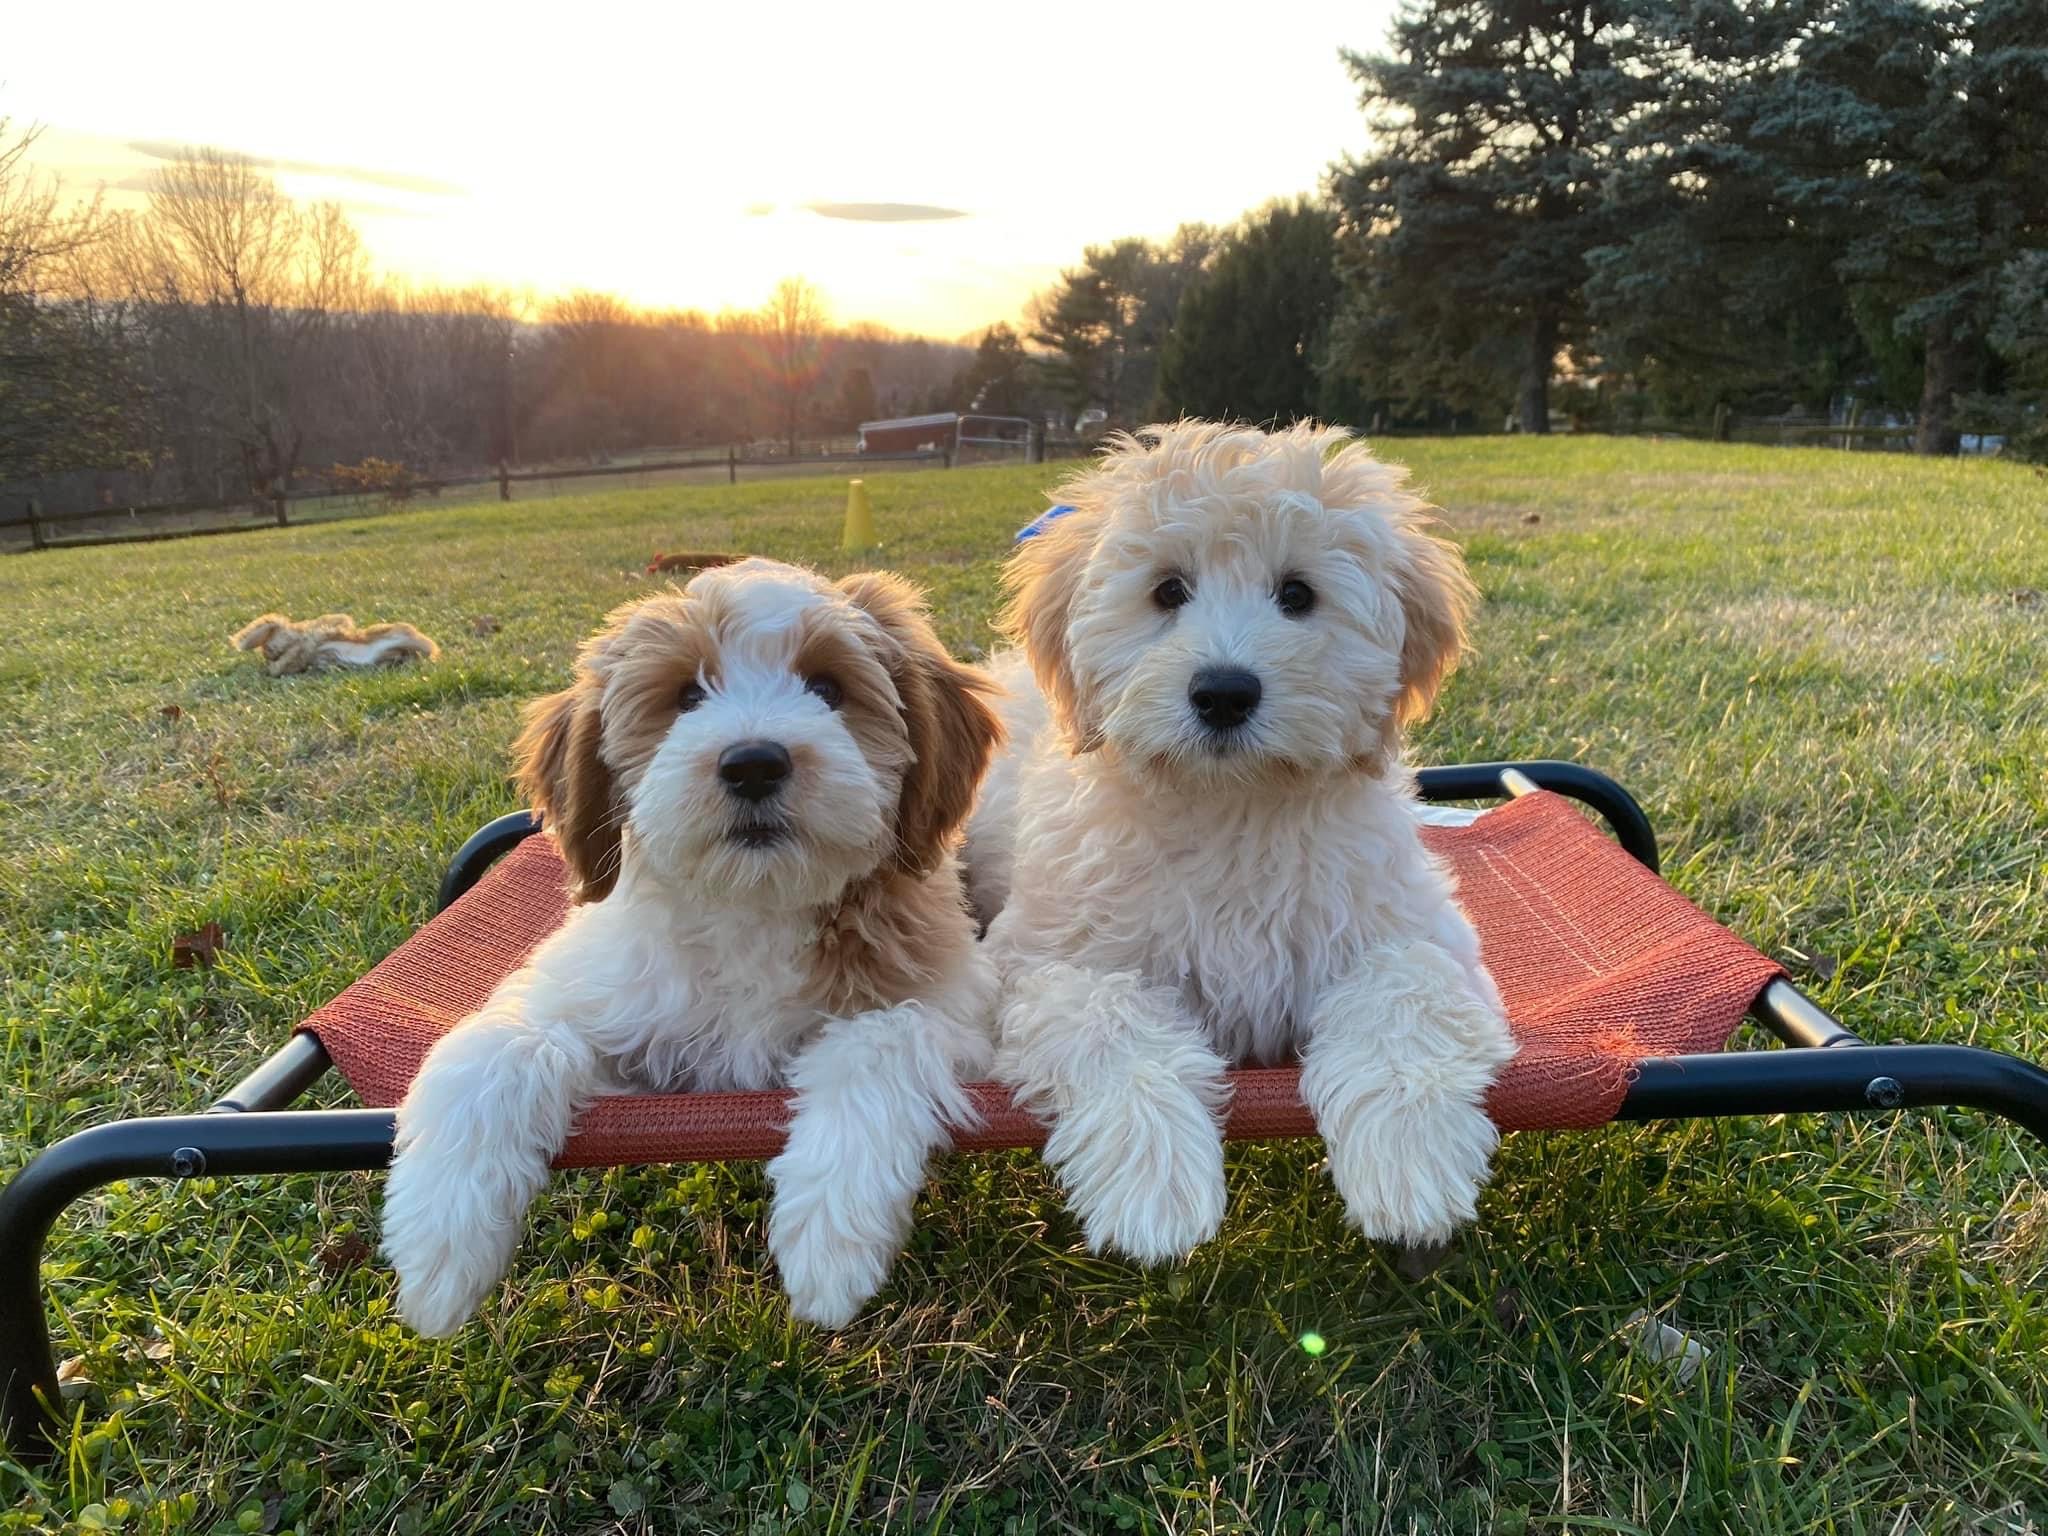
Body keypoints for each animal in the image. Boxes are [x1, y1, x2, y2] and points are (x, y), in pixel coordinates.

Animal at [380, 561, 1003, 1335]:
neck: (753, 908)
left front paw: (831, 1230)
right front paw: (439, 1244)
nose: (754, 763)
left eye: (829, 688)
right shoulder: (589, 993)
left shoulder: (960, 1006)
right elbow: (501, 1046)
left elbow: (881, 1038)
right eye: (685, 696)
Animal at [966, 428, 1515, 1269]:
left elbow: (1406, 995)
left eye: (1297, 595)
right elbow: (1109, 1023)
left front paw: (1406, 1155)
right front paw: (1154, 1183)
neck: (1232, 805)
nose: (1223, 693)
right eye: (1167, 591)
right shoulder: (1046, 959)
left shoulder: (1418, 930)